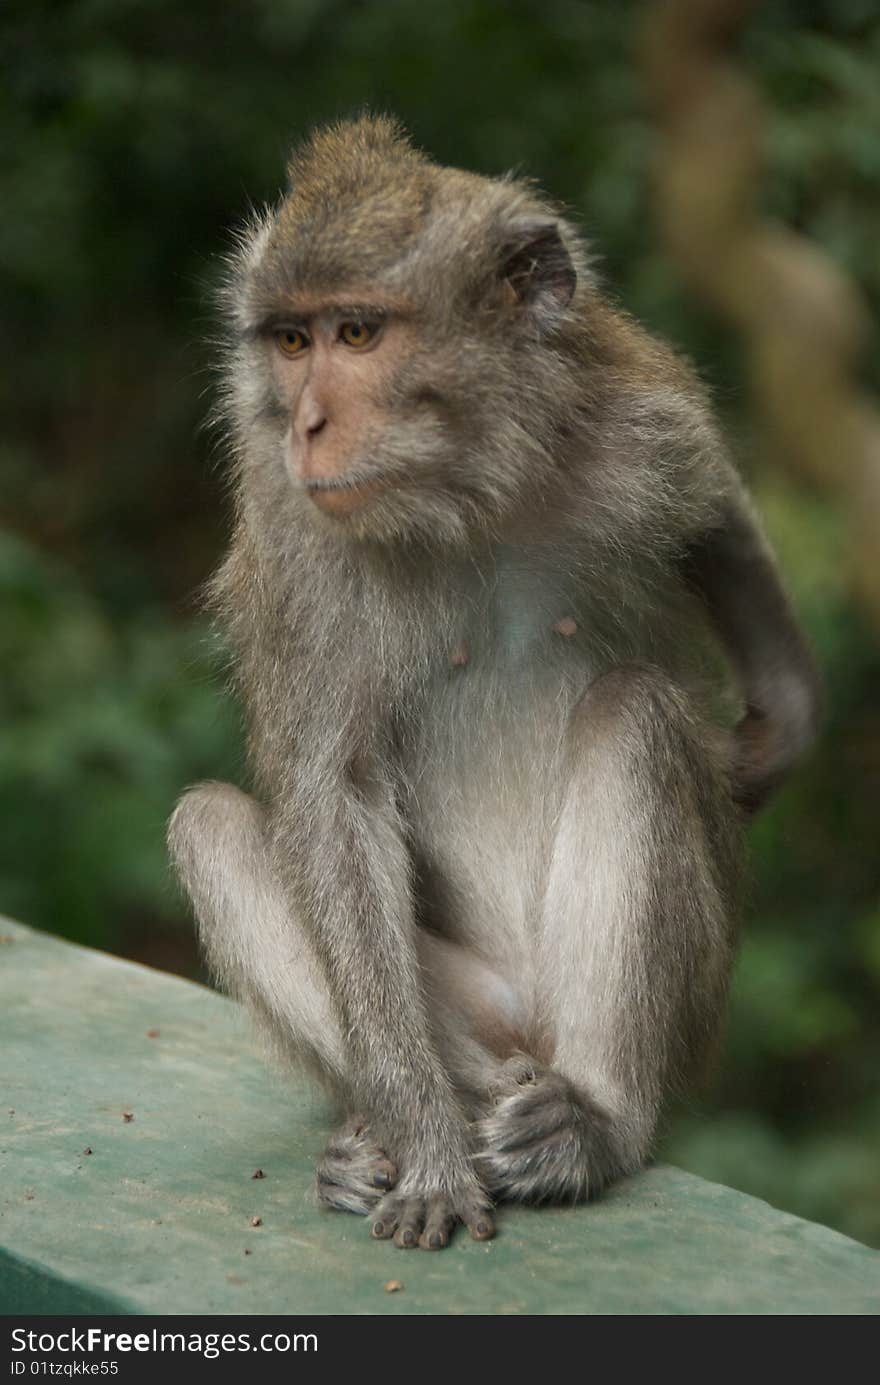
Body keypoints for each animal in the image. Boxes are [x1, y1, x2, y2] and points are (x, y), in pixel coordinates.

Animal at [168, 113, 820, 1252]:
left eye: (356, 334)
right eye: (290, 341)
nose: (305, 424)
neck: (463, 490)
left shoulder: (628, 402)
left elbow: (713, 504)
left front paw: (784, 718)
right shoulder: (298, 532)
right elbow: (334, 799)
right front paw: (427, 1142)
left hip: (687, 997)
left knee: (635, 711)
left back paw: (591, 1122)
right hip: (471, 1005)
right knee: (210, 823)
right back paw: (408, 1129)